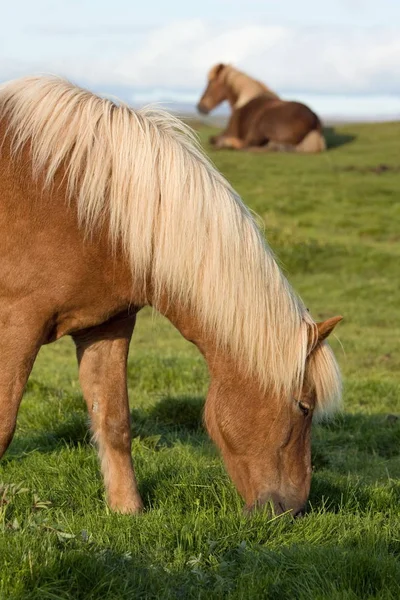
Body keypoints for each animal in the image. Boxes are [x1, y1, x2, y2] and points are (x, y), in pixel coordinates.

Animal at [1, 75, 342, 516]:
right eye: (304, 406)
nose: (294, 509)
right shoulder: (19, 324)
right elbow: (5, 424)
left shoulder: (106, 326)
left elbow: (114, 421)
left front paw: (127, 511)